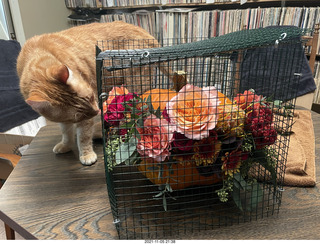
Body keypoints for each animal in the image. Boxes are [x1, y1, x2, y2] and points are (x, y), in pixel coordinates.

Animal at [17, 21, 161, 166]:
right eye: (78, 115)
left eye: (91, 97)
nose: (97, 111)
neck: (38, 55)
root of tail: (143, 32)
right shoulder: (67, 120)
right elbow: (66, 132)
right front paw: (66, 144)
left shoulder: (86, 121)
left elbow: (83, 137)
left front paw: (86, 154)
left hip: (136, 85)